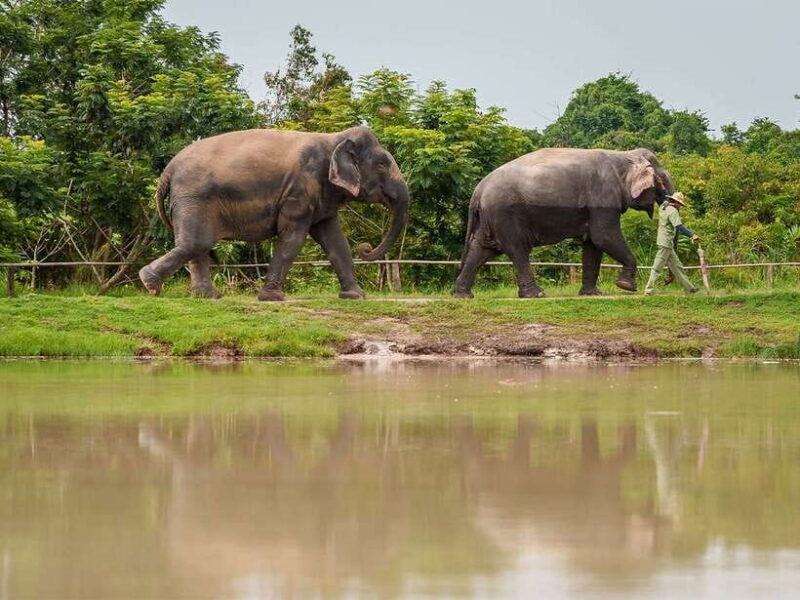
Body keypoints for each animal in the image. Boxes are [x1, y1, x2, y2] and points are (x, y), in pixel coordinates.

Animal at [138, 126, 410, 301]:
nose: (365, 249)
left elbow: (335, 240)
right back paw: (149, 284)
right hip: (193, 197)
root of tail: (168, 170)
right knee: (197, 243)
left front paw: (356, 296)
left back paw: (208, 297)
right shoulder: (299, 190)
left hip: (191, 200)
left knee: (197, 245)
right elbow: (292, 238)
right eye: (382, 165)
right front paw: (272, 298)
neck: (333, 139)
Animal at [452, 148, 674, 298]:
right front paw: (626, 286)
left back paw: (462, 295)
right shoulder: (603, 198)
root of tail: (478, 190)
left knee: (481, 249)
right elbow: (604, 236)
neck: (624, 155)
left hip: (491, 216)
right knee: (517, 249)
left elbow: (593, 244)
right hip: (504, 213)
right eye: (661, 182)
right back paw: (537, 294)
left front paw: (593, 294)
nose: (668, 280)